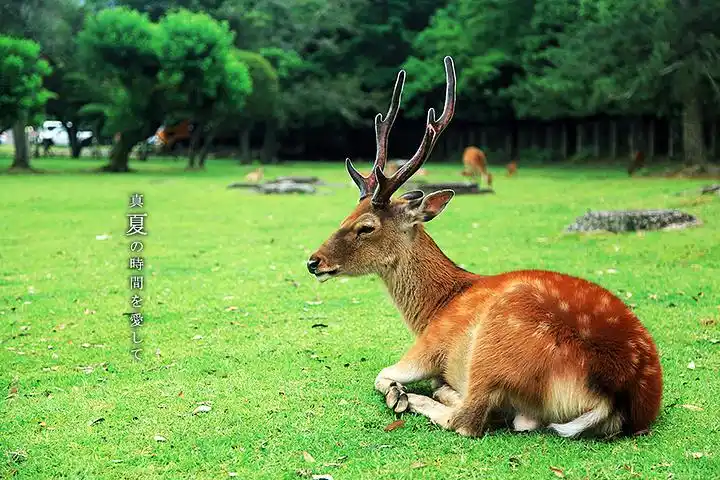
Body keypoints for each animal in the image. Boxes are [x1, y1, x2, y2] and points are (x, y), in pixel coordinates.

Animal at [306, 56, 663, 439]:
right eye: (347, 215)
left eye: (366, 226)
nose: (314, 261)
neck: (436, 307)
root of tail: (612, 398)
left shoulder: (430, 346)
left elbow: (382, 375)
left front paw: (400, 394)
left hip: (493, 345)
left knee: (468, 420)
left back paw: (432, 395)